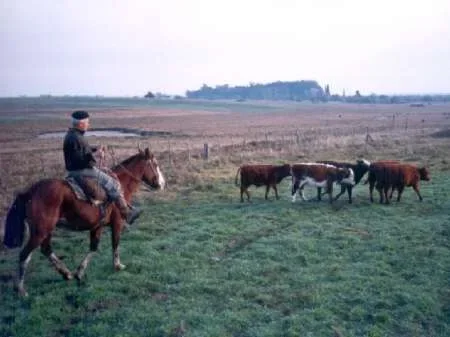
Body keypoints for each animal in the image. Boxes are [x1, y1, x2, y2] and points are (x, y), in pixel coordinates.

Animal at [3, 146, 165, 294]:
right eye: (155, 164)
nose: (162, 184)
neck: (122, 185)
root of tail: (31, 191)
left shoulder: (97, 226)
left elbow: (93, 247)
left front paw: (79, 273)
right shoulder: (117, 223)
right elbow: (115, 243)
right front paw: (118, 265)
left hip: (44, 231)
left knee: (46, 249)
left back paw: (66, 274)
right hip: (40, 232)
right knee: (25, 254)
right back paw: (21, 290)